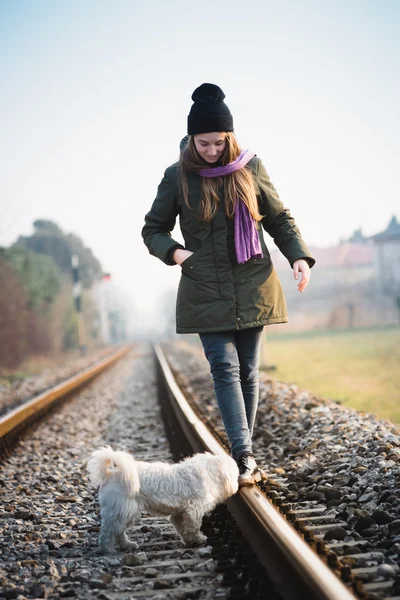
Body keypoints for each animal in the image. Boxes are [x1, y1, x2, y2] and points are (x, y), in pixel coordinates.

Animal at [87, 446, 238, 552]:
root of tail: (110, 473)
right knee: (108, 531)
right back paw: (108, 549)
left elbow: (183, 529)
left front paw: (189, 541)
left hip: (124, 512)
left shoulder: (179, 514)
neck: (207, 471)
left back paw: (127, 545)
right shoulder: (193, 511)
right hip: (121, 510)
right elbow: (193, 528)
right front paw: (198, 540)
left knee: (118, 531)